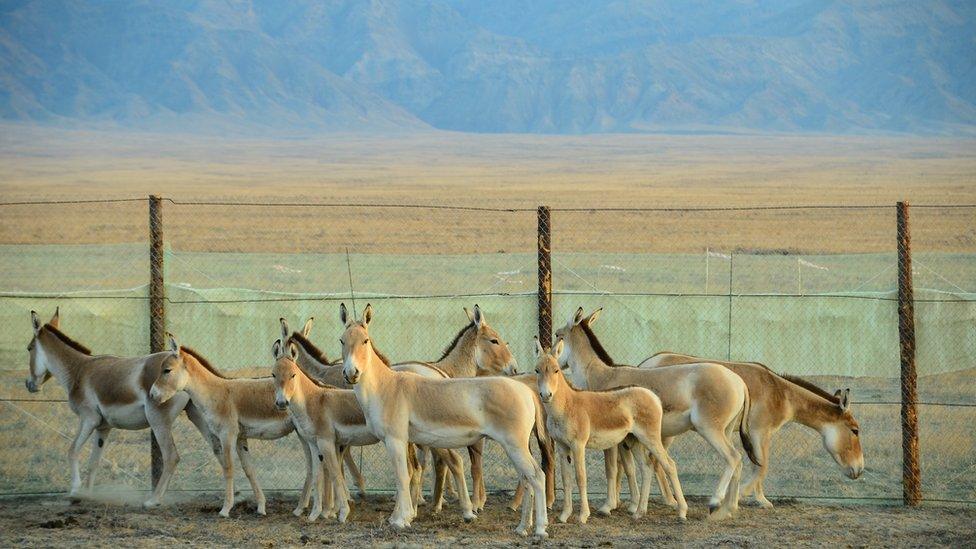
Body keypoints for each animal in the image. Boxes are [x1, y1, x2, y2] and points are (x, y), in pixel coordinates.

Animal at [532, 338, 688, 524]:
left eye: (556, 370)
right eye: (537, 370)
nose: (545, 395)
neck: (567, 405)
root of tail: (652, 396)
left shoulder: (578, 446)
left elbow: (580, 477)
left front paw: (583, 515)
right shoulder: (563, 447)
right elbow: (566, 479)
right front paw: (564, 515)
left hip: (650, 438)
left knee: (669, 465)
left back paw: (682, 511)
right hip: (633, 440)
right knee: (646, 468)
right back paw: (639, 512)